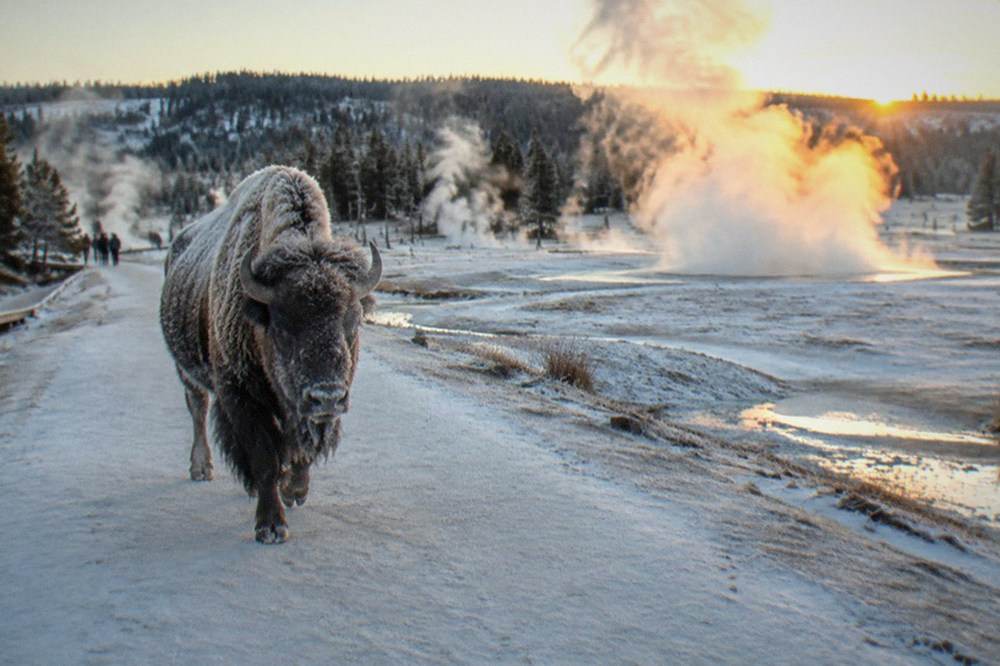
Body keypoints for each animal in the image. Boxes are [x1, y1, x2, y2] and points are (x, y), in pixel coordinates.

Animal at [160, 166, 381, 543]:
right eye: (280, 324)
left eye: (353, 320)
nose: (327, 396)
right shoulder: (241, 396)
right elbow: (264, 458)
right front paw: (271, 526)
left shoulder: (303, 409)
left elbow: (300, 449)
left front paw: (295, 491)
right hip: (187, 372)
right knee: (198, 411)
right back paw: (201, 468)